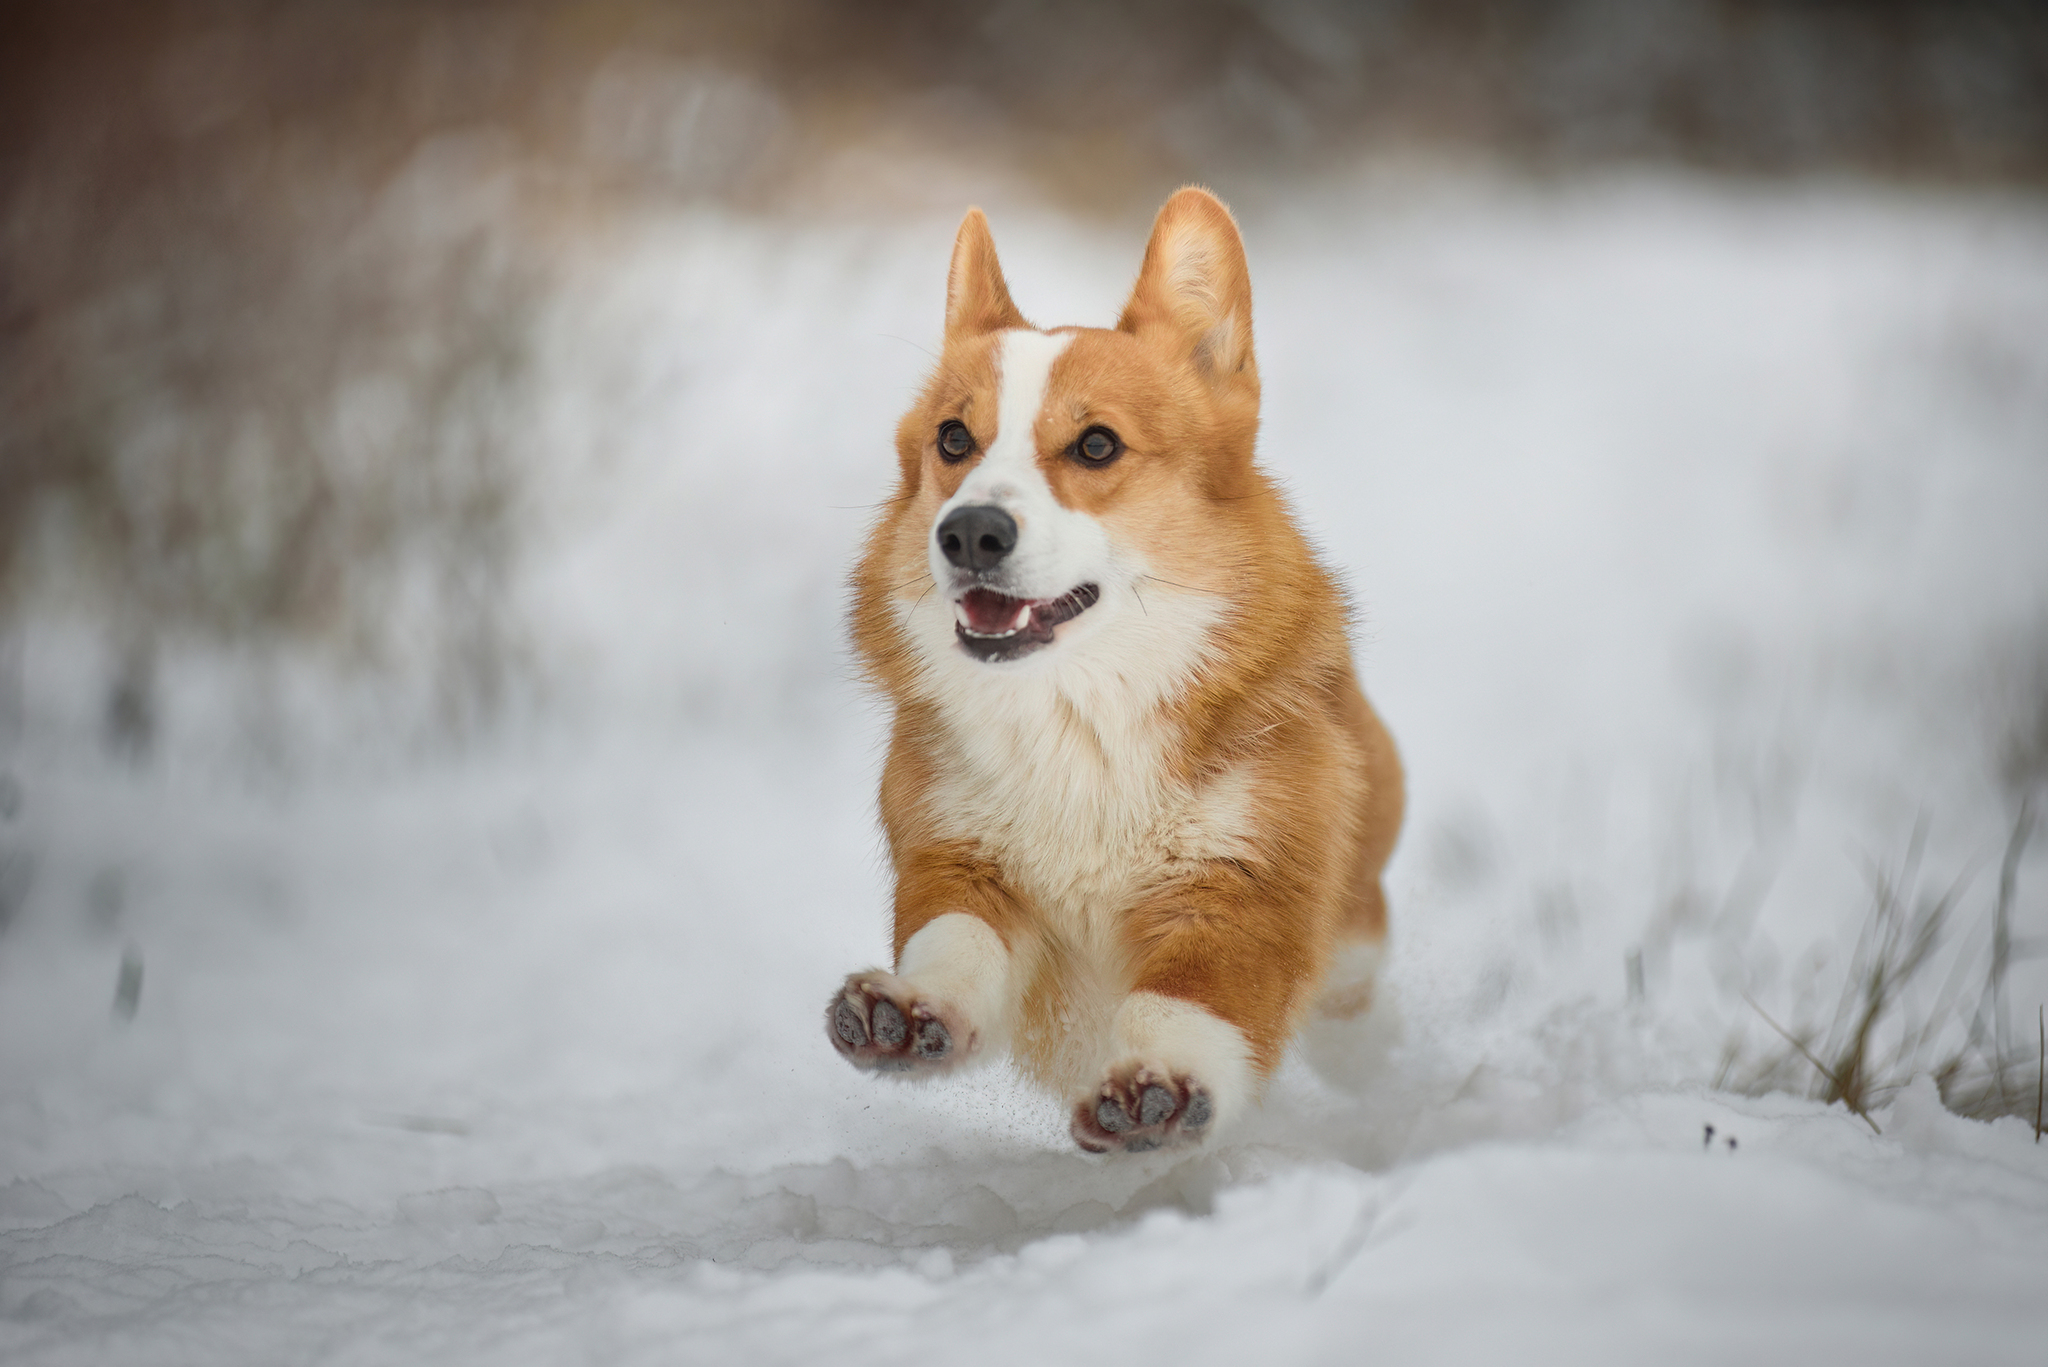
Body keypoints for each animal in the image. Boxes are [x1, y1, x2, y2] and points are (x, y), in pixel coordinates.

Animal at [823, 187, 1400, 1147]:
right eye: (954, 438)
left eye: (1096, 446)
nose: (969, 532)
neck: (1077, 712)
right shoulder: (958, 855)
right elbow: (953, 939)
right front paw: (906, 1010)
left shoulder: (1240, 888)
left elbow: (1186, 1001)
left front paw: (1158, 1084)